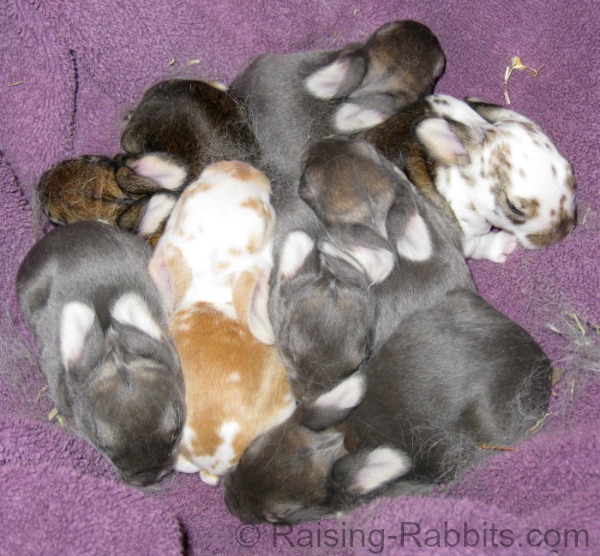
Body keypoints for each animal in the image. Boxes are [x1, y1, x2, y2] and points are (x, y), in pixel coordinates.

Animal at [360, 94, 576, 262]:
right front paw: (505, 244)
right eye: (513, 207)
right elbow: (479, 245)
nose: (564, 232)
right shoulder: (466, 237)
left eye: (571, 175)